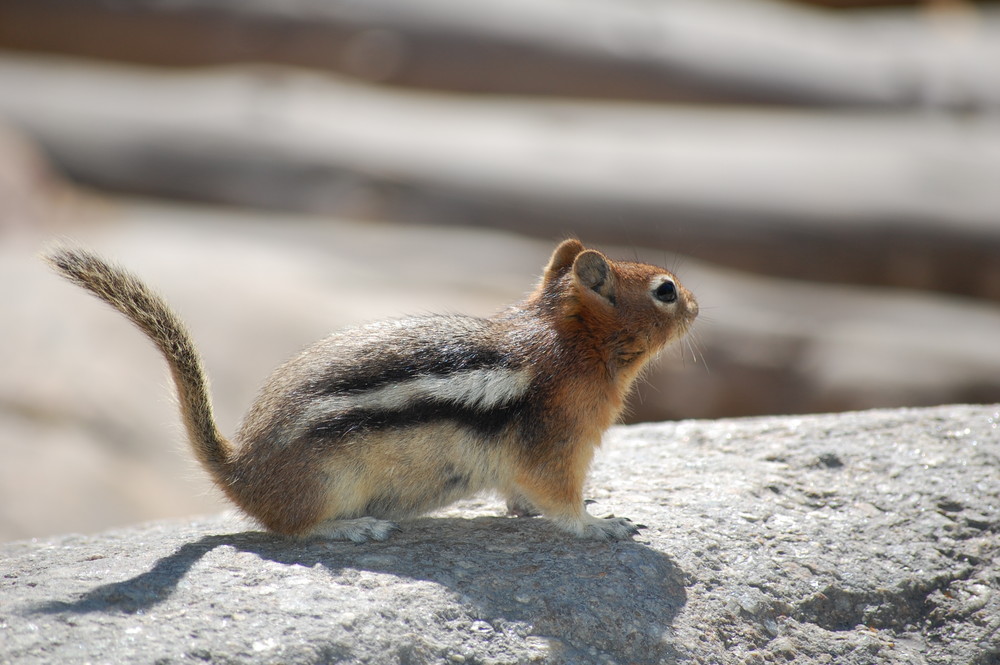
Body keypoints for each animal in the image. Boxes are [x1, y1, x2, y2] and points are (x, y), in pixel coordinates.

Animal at [47, 241, 700, 544]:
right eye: (666, 290)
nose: (697, 305)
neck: (569, 344)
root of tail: (241, 472)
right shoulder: (558, 442)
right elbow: (559, 499)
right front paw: (600, 524)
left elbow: (520, 491)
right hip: (326, 481)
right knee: (291, 529)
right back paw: (348, 529)